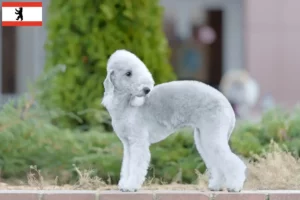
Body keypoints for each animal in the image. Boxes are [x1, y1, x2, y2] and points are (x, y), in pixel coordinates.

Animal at [101, 48, 246, 192]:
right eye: (128, 73)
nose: (147, 90)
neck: (126, 105)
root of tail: (228, 105)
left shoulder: (138, 141)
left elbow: (136, 165)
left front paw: (130, 186)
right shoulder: (128, 144)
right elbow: (127, 165)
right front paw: (124, 184)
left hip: (213, 133)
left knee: (233, 162)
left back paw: (235, 186)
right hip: (203, 138)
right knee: (216, 162)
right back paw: (216, 185)